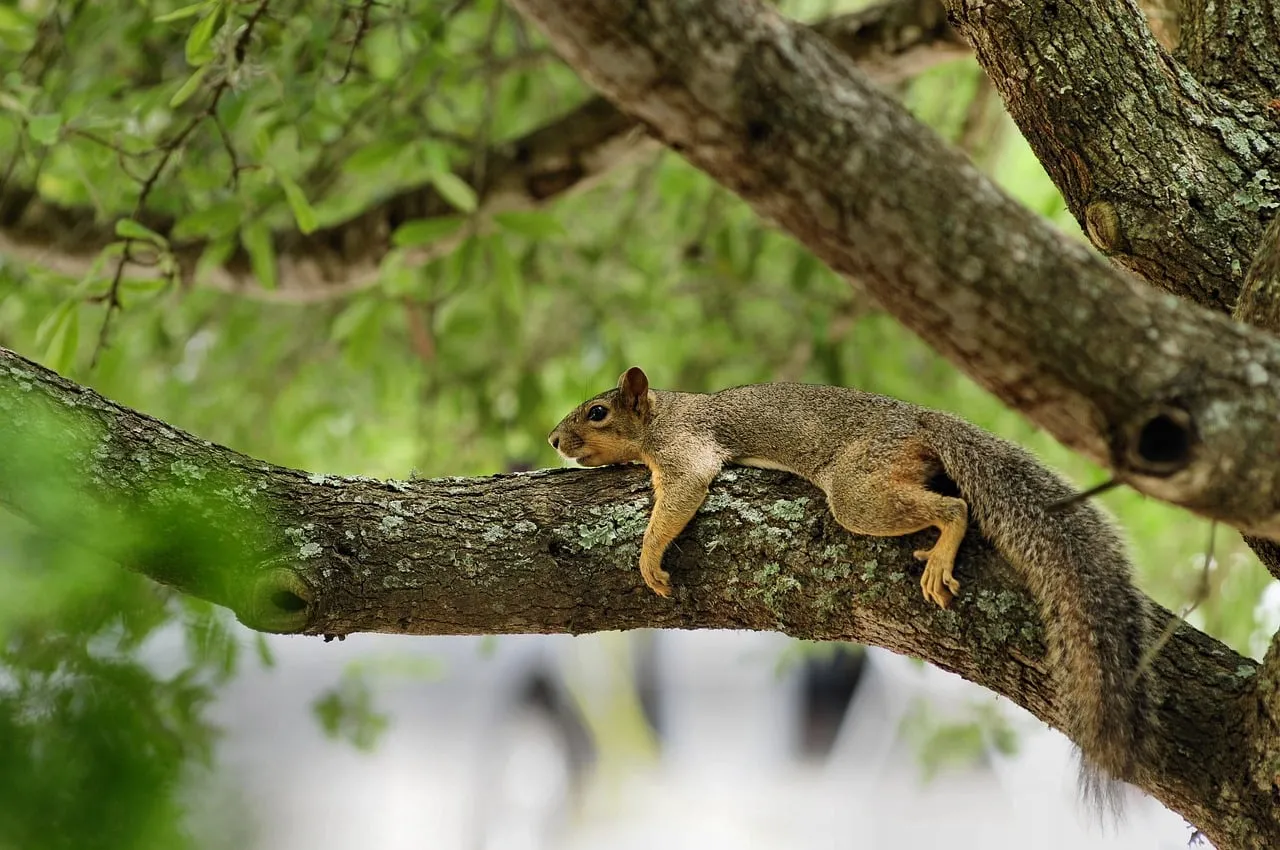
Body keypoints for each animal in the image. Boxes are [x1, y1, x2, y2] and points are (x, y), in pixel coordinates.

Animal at [549, 366, 1156, 800]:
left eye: (597, 412)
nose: (554, 439)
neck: (664, 413)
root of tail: (921, 422)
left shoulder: (686, 448)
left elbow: (681, 494)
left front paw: (649, 558)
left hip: (858, 487)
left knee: (954, 507)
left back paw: (942, 550)